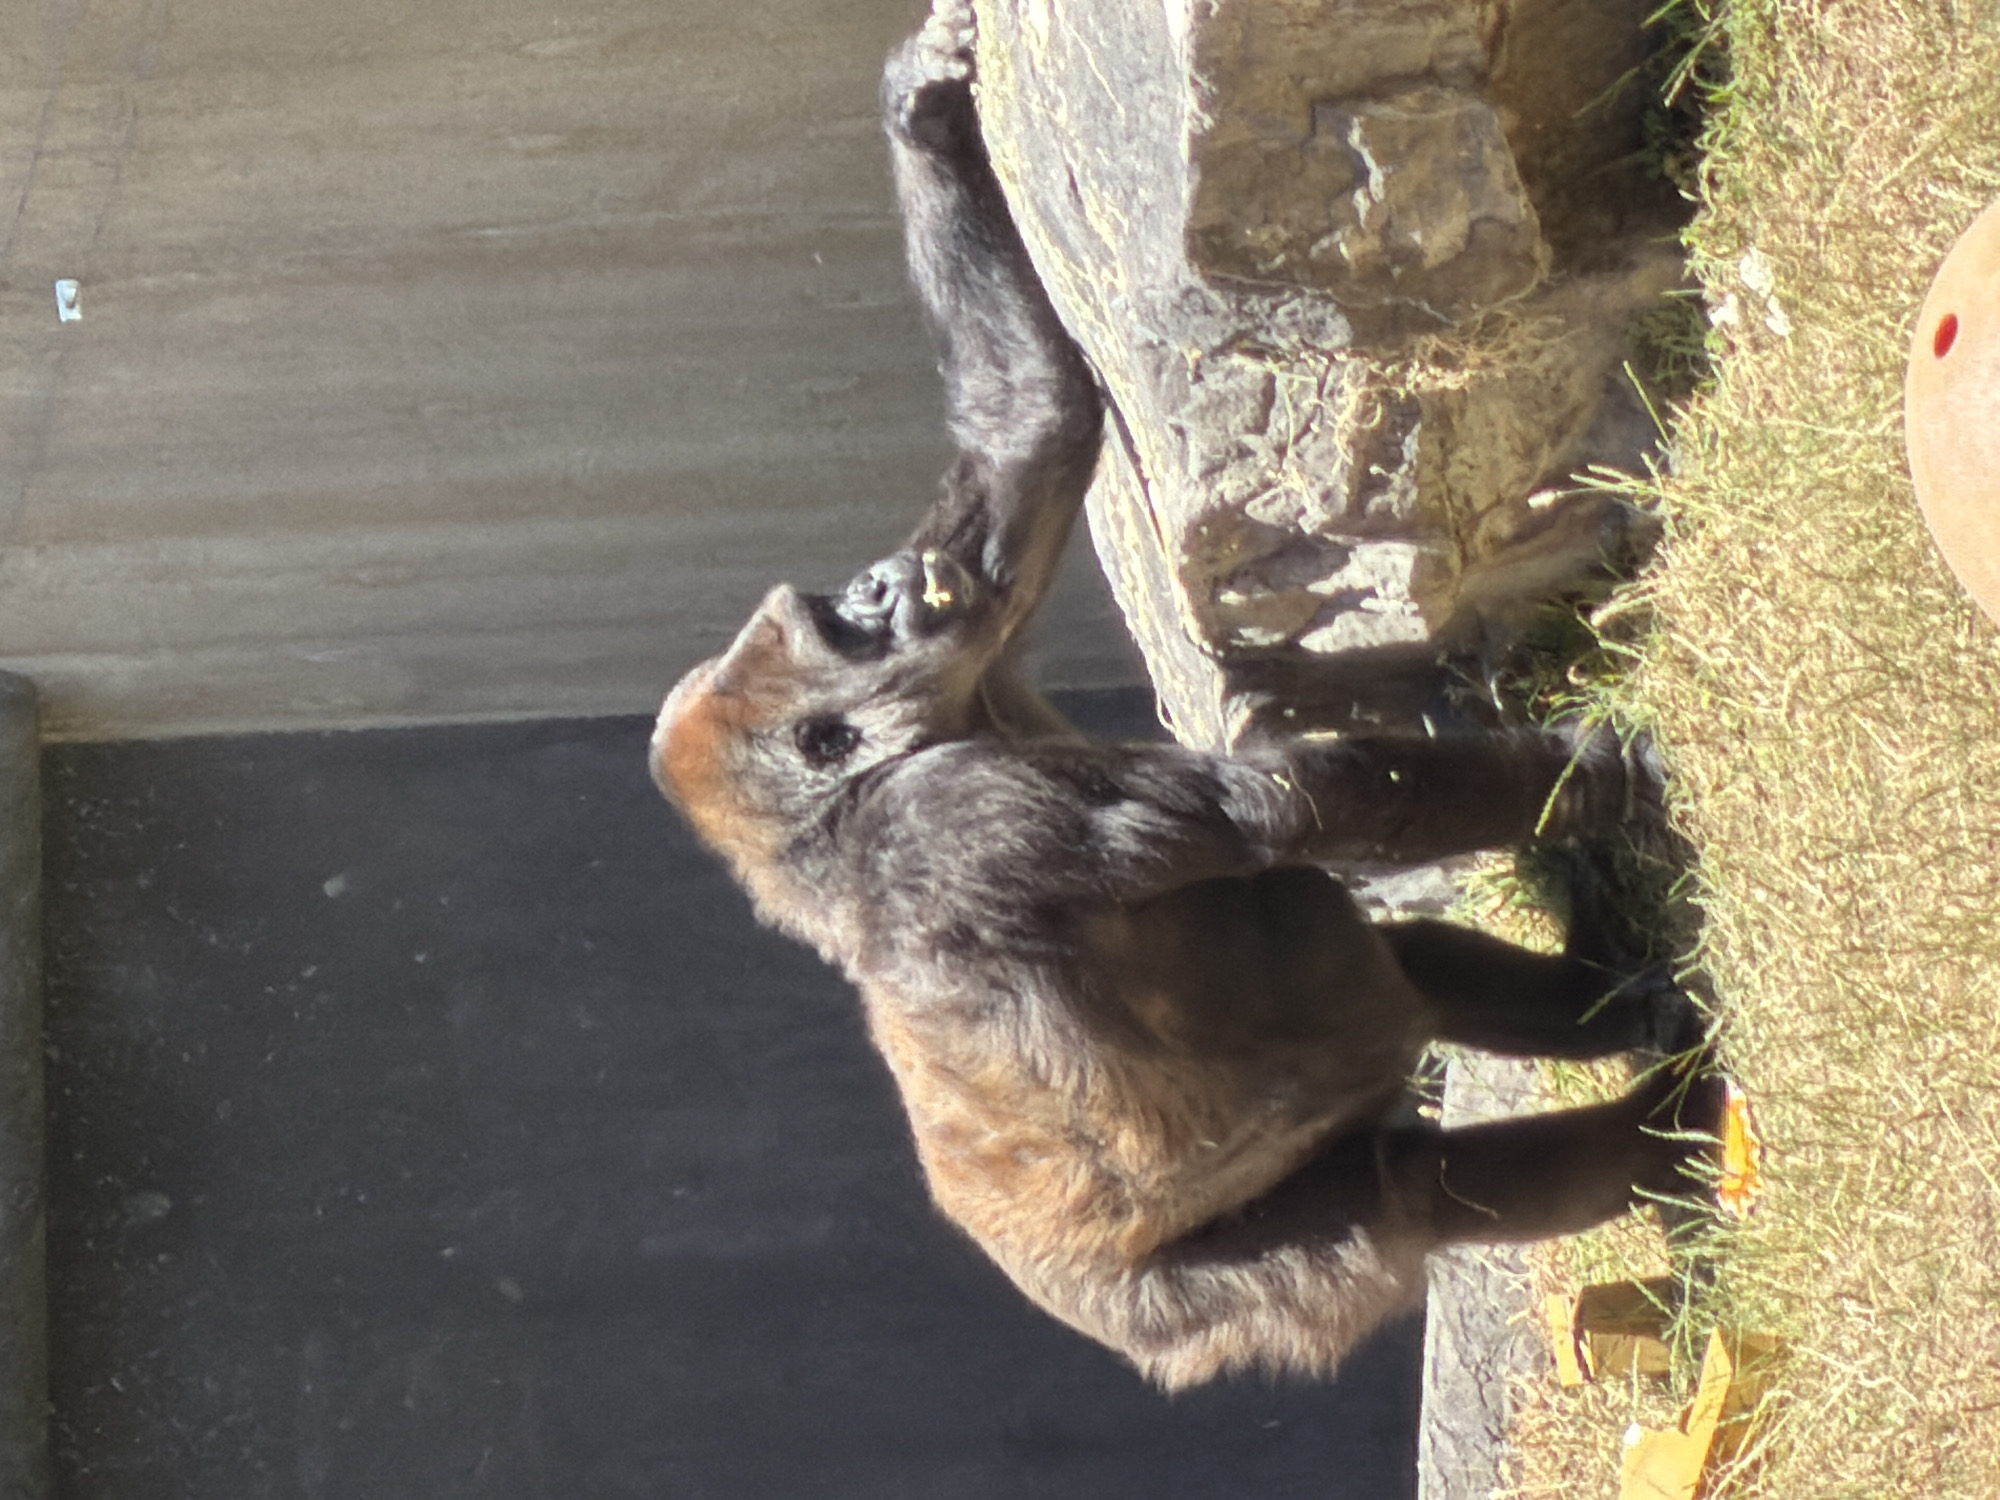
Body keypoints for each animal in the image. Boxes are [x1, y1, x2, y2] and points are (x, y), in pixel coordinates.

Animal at [651, 2, 1719, 1391]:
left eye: (844, 607)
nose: (887, 581)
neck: (842, 820)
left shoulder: (967, 683)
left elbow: (1030, 425)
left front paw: (920, 108)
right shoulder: (960, 820)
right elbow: (1269, 809)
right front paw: (1604, 776)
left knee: (1399, 968)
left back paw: (1597, 1001)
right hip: (1208, 1296)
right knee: (1403, 1184)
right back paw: (1662, 1129)